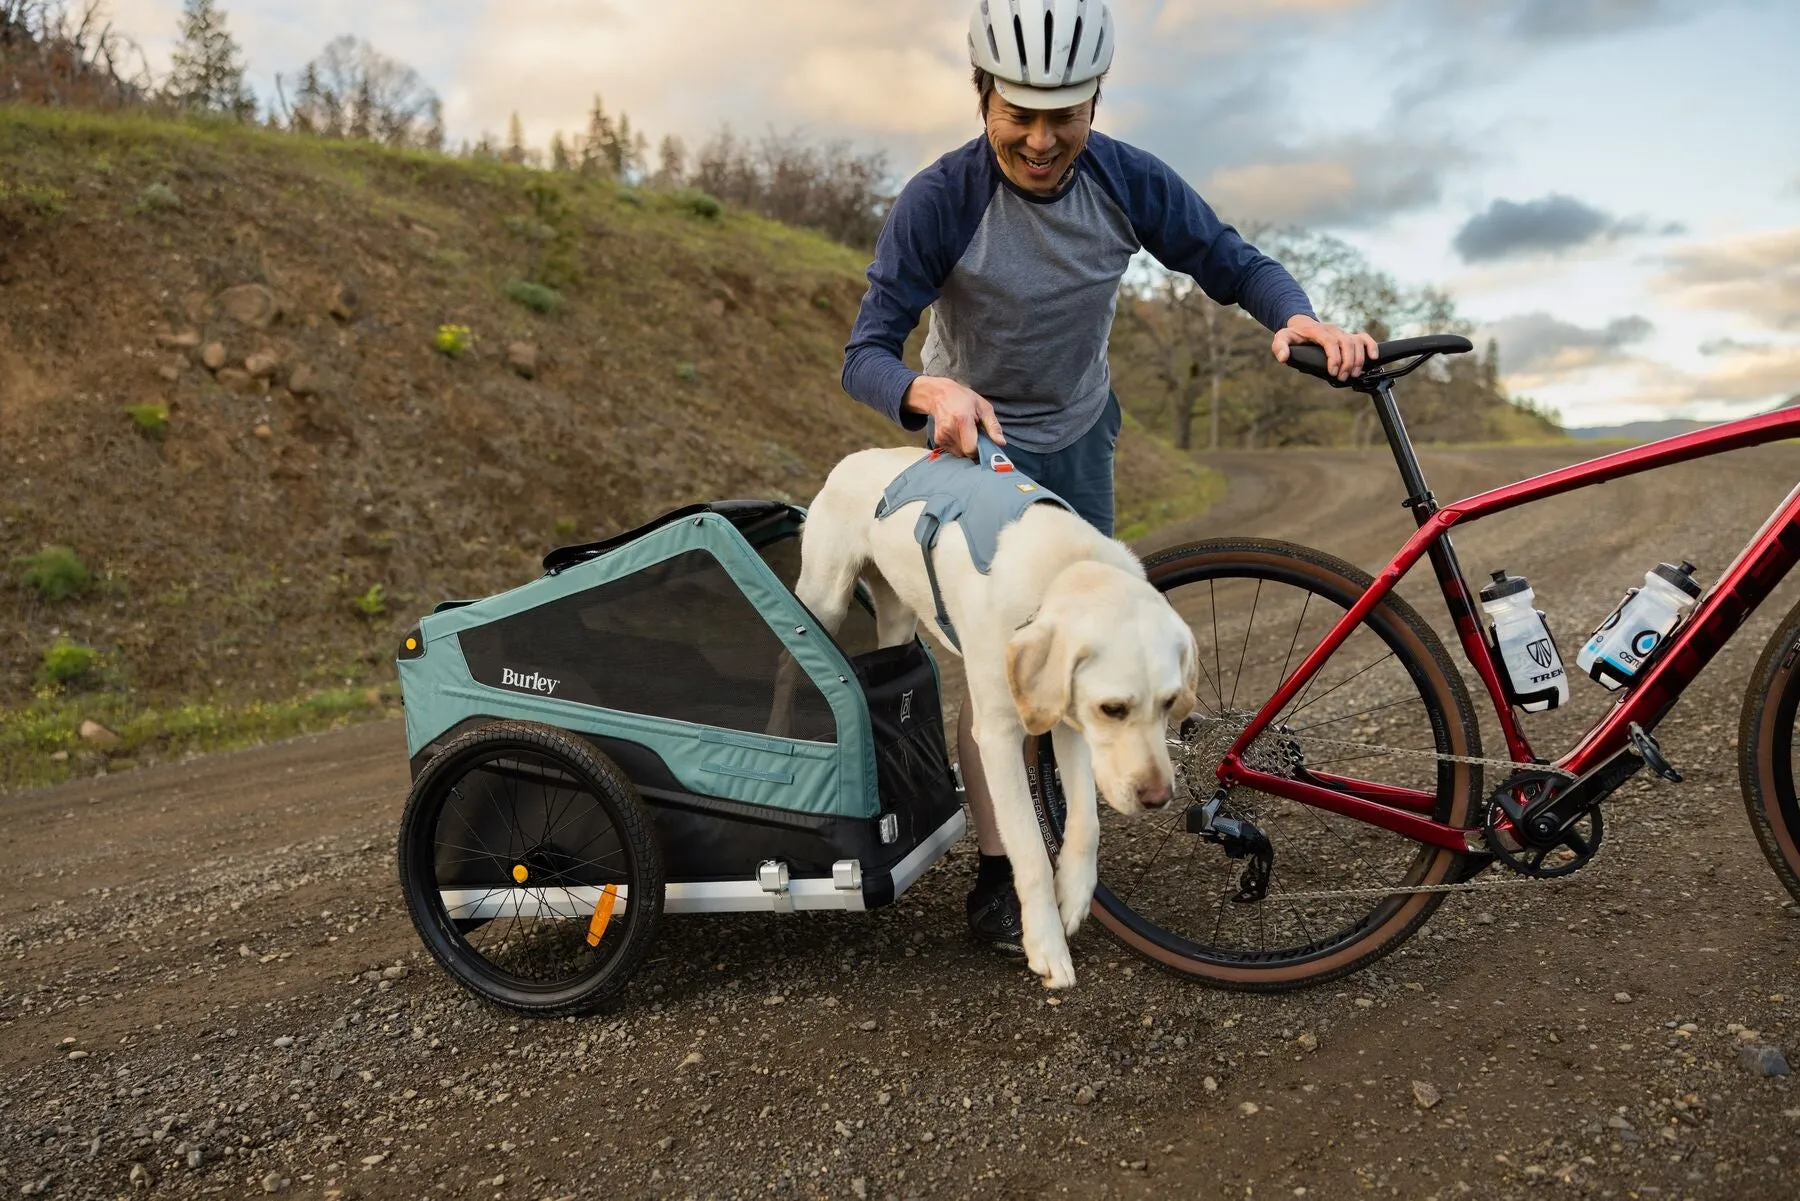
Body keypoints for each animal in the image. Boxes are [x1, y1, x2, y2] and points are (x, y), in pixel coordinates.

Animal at [792, 446, 1195, 993]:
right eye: (1113, 708)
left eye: (1170, 703)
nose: (1157, 798)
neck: (1064, 566)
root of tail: (855, 455)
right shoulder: (1001, 736)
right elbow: (1028, 850)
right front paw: (1046, 944)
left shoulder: (1066, 720)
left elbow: (1086, 824)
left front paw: (1074, 897)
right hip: (824, 598)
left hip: (897, 617)